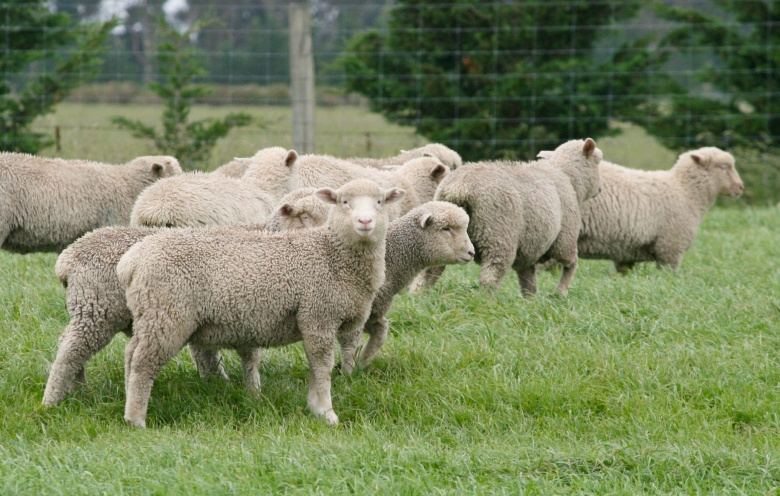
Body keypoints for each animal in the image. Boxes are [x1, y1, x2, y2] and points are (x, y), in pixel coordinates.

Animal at [41, 188, 333, 407]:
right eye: (305, 216)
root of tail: (68, 257)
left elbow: (223, 354)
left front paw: (226, 386)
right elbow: (242, 355)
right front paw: (248, 392)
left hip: (87, 311)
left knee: (69, 343)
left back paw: (78, 390)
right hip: (98, 310)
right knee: (70, 352)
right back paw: (52, 401)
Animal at [116, 179, 405, 427]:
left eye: (379, 202)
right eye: (344, 202)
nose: (365, 221)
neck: (331, 253)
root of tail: (131, 262)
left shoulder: (312, 320)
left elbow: (314, 365)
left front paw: (314, 407)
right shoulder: (318, 314)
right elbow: (323, 366)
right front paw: (327, 412)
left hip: (151, 314)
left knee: (131, 354)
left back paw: (128, 402)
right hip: (167, 314)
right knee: (143, 362)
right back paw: (136, 419)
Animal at [434, 138, 602, 296]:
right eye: (597, 161)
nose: (599, 190)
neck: (567, 177)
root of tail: (460, 189)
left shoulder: (527, 252)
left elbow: (528, 281)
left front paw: (531, 301)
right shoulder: (565, 240)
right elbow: (571, 265)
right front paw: (560, 292)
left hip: (445, 235)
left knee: (434, 267)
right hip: (498, 235)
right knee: (490, 276)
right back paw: (487, 301)